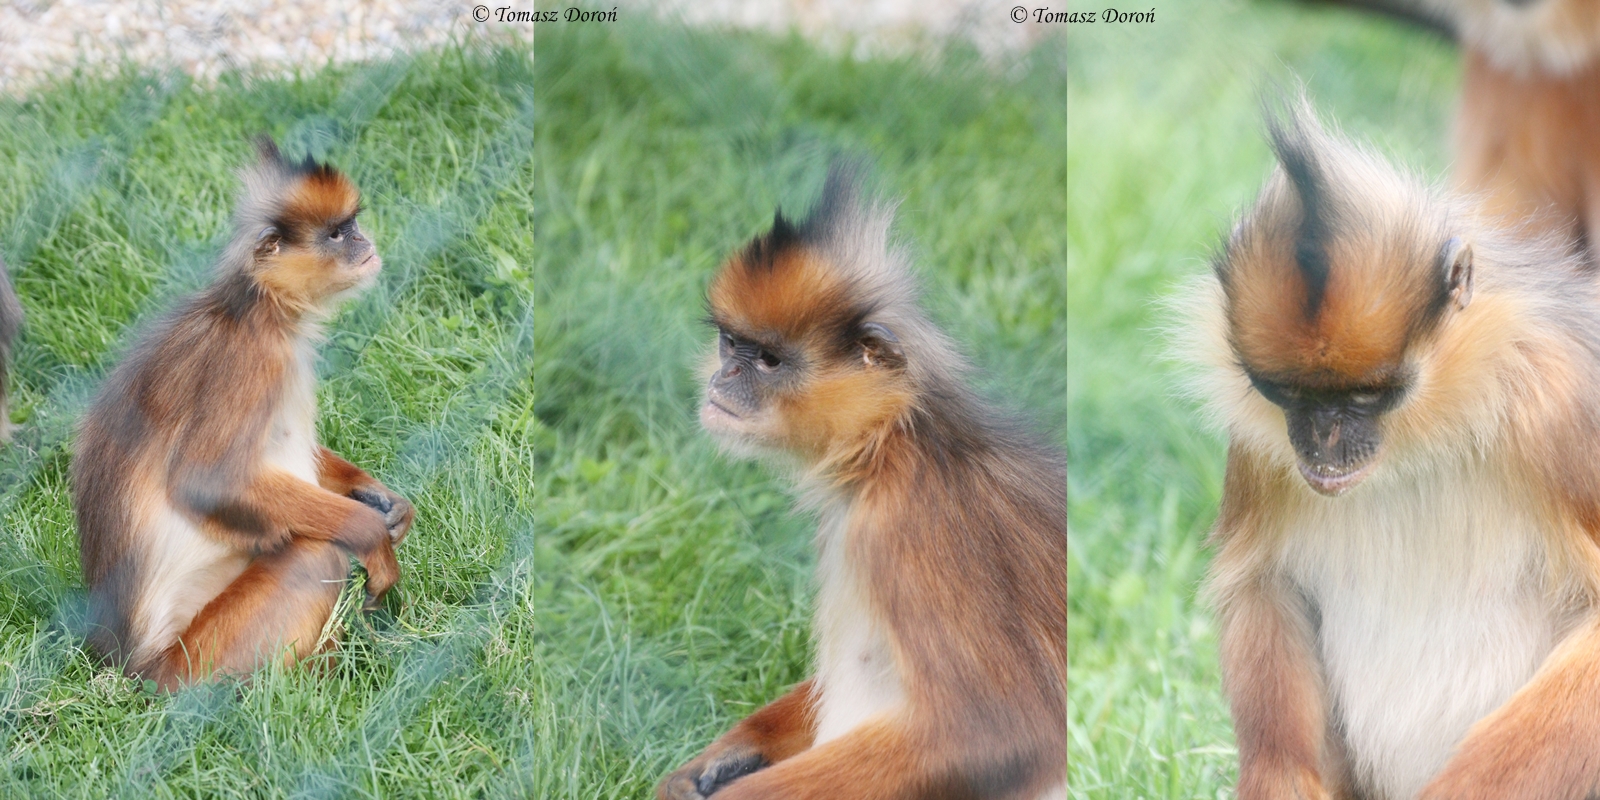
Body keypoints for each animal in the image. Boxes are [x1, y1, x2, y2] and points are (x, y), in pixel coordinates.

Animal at [73, 139, 414, 691]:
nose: (365, 241)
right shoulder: (250, 360)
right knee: (315, 551)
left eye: (352, 225)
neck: (261, 311)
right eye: (338, 233)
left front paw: (379, 497)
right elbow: (207, 482)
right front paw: (369, 532)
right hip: (200, 659)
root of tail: (128, 667)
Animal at [656, 166, 1067, 800]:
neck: (889, 447)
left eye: (768, 361)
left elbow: (1005, 732)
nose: (723, 378)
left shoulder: (912, 524)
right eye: (731, 344)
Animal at [1183, 95, 1600, 800]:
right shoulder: (1262, 445)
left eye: (1367, 395)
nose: (1322, 435)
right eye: (1289, 392)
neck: (1421, 442)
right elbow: (1269, 585)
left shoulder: (1560, 409)